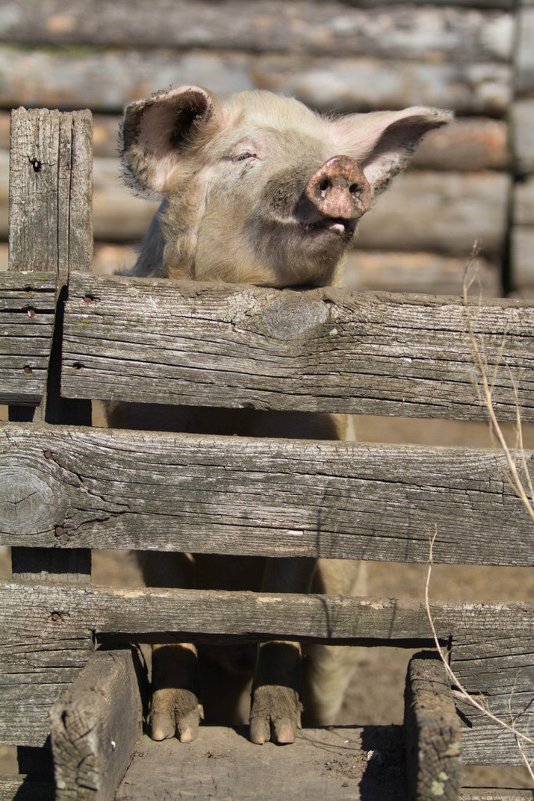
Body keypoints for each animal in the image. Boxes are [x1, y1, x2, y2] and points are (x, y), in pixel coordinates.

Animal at [115, 86, 454, 744]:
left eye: (325, 151)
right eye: (243, 154)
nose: (340, 169)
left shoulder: (309, 475)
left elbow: (283, 607)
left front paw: (274, 738)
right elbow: (168, 608)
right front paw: (171, 733)